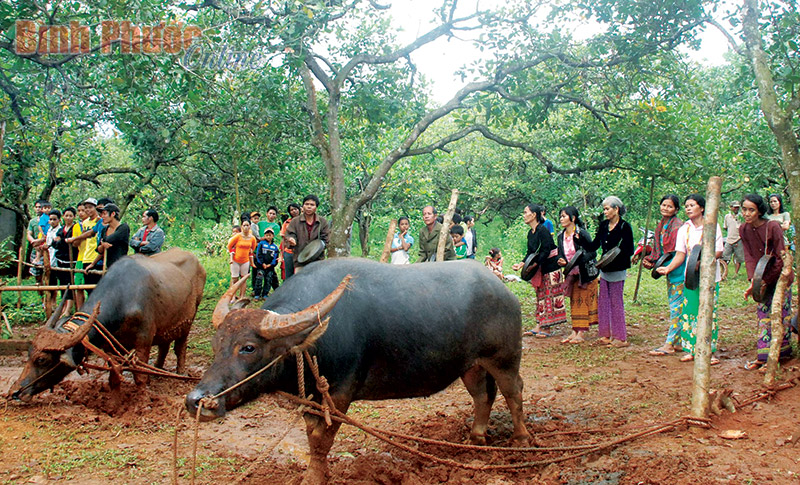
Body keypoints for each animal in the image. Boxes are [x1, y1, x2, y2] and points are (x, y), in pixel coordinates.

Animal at [9, 246, 205, 400]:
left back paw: (180, 371)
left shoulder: (144, 340)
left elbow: (139, 377)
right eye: (29, 353)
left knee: (180, 346)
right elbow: (114, 375)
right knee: (164, 345)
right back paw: (156, 370)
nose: (15, 392)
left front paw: (142, 398)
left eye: (42, 360)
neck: (124, 298)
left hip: (188, 320)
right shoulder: (111, 346)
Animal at [184, 260, 528, 482]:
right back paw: (476, 437)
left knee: (514, 392)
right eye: (216, 344)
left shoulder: (340, 393)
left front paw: (314, 478)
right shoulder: (313, 395)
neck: (314, 342)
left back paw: (521, 440)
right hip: (471, 365)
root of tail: (504, 292)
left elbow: (322, 440)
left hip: (505, 358)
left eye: (248, 348)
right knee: (483, 395)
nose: (197, 400)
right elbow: (311, 435)